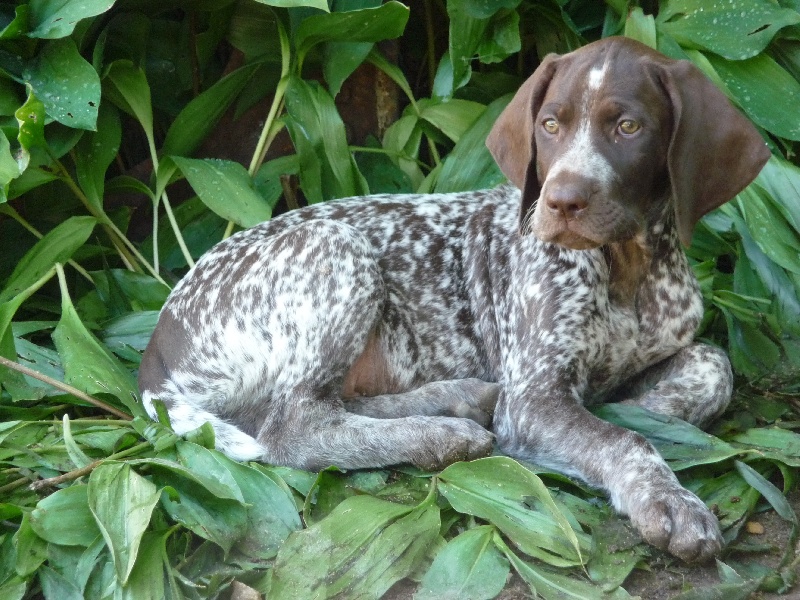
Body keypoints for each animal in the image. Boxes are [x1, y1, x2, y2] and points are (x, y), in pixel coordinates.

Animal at [141, 38, 772, 564]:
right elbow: (620, 439)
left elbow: (713, 365)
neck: (626, 272)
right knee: (294, 426)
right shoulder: (534, 398)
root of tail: (158, 348)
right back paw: (441, 435)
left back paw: (457, 401)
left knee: (321, 405)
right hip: (337, 247)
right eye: (549, 124)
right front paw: (665, 494)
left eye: (628, 127)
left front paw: (647, 409)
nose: (562, 202)